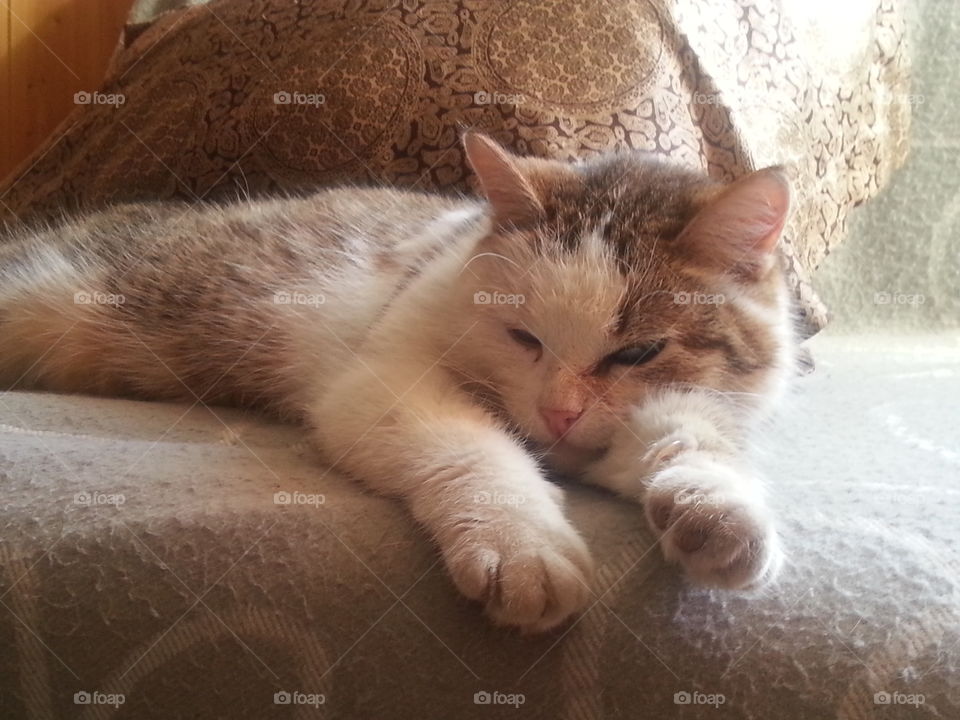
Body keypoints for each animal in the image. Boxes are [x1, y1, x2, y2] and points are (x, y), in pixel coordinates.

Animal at [1, 132, 796, 632]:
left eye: (639, 352)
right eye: (524, 338)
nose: (559, 414)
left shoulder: (688, 408)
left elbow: (692, 440)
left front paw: (718, 506)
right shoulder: (383, 381)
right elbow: (472, 449)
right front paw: (522, 539)